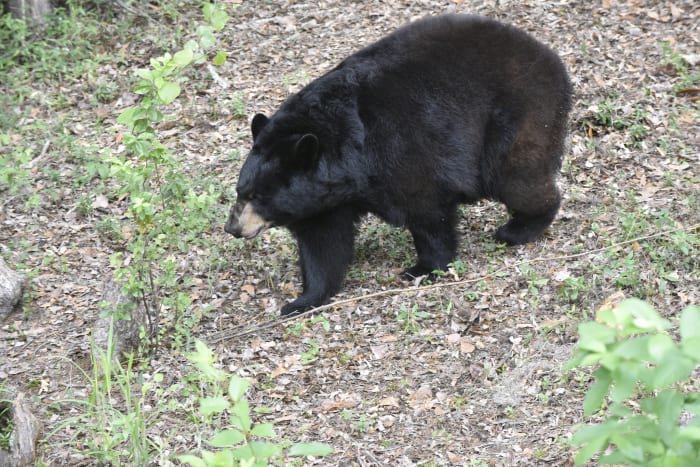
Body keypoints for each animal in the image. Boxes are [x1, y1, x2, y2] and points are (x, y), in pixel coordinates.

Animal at [225, 14, 572, 316]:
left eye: (258, 196)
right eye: (241, 190)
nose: (232, 228)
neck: (349, 155)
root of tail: (552, 58)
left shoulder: (401, 150)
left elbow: (427, 211)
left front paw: (423, 268)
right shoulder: (324, 198)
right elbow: (323, 244)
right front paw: (302, 300)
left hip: (519, 114)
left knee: (515, 177)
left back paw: (518, 229)